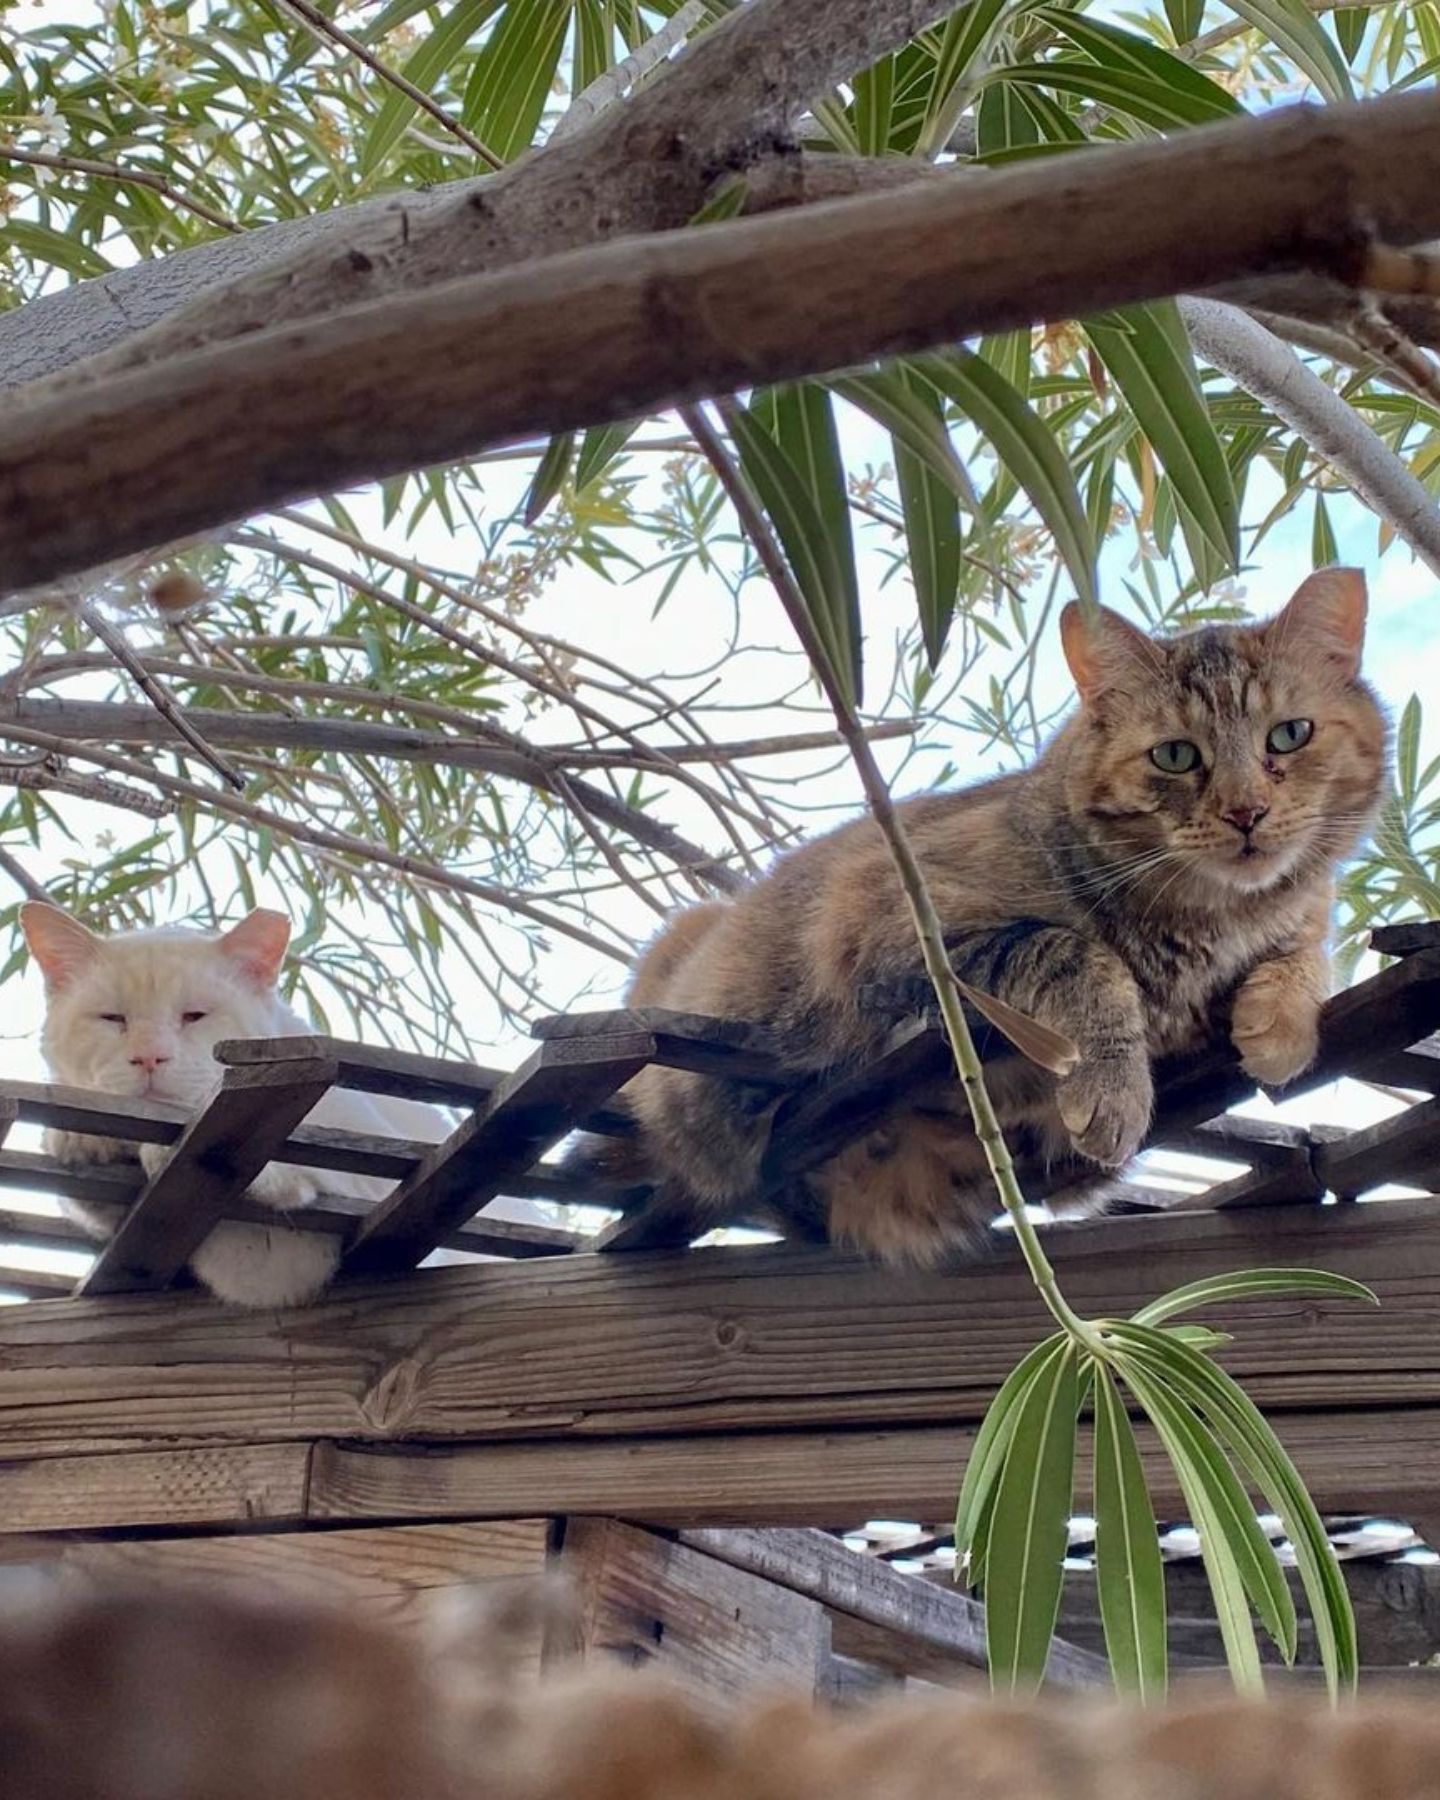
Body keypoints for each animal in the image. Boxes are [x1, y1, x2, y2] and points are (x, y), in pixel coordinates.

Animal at [19, 900, 453, 1310]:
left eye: (195, 1016)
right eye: (112, 1018)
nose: (149, 1057)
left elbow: (300, 1173)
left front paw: (164, 1152)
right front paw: (80, 1140)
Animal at [572, 568, 1382, 1260]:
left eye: (1290, 734)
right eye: (1177, 755)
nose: (1248, 812)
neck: (1208, 922)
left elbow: (1306, 947)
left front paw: (1279, 1024)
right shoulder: (892, 914)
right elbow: (1082, 955)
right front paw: (1113, 1089)